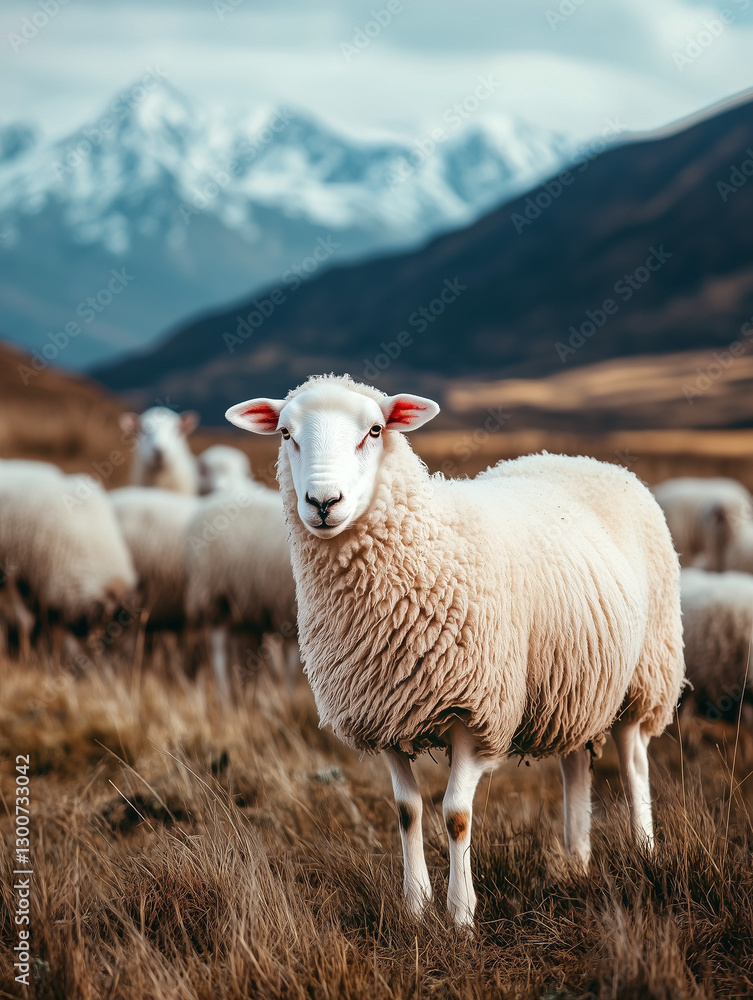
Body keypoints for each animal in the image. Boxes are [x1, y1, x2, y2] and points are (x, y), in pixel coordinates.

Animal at [226, 374, 684, 928]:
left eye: (375, 430)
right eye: (286, 433)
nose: (322, 501)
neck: (428, 541)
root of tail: (582, 459)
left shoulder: (476, 709)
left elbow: (456, 814)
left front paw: (461, 914)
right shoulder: (383, 708)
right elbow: (407, 810)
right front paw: (415, 906)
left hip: (645, 675)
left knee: (635, 761)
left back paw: (644, 851)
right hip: (573, 683)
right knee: (574, 761)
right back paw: (576, 861)